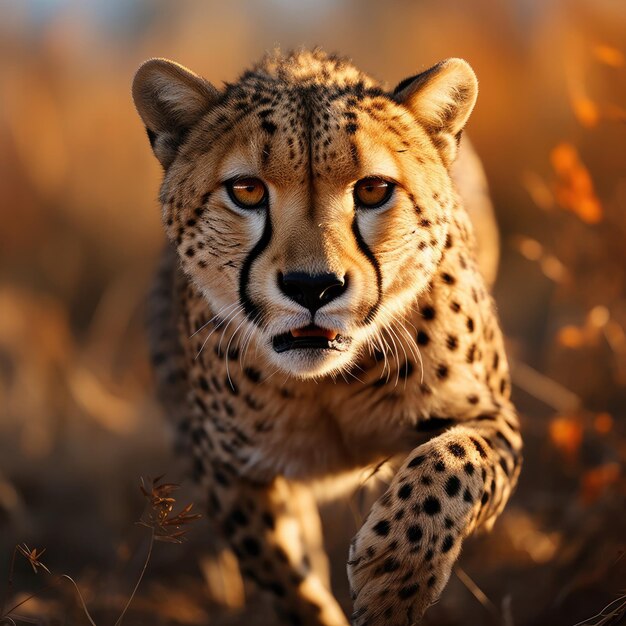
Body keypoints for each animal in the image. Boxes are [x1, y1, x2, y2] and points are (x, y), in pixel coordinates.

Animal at [133, 48, 520, 624]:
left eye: (374, 189)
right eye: (246, 190)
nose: (312, 286)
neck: (327, 384)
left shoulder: (492, 415)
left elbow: (454, 462)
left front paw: (397, 574)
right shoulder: (228, 470)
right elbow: (285, 578)